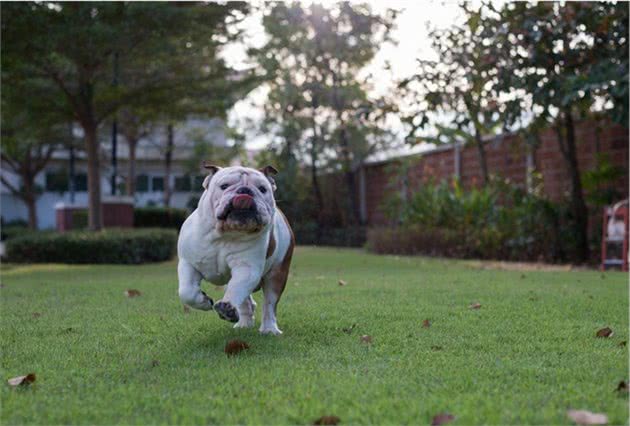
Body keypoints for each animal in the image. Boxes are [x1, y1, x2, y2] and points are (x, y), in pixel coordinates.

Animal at [178, 165, 296, 334]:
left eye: (262, 189)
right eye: (224, 186)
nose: (245, 190)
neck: (224, 234)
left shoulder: (247, 269)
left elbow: (237, 289)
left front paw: (227, 307)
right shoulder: (188, 263)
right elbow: (186, 291)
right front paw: (203, 301)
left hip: (277, 273)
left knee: (269, 304)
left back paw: (269, 329)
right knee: (245, 301)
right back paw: (244, 323)